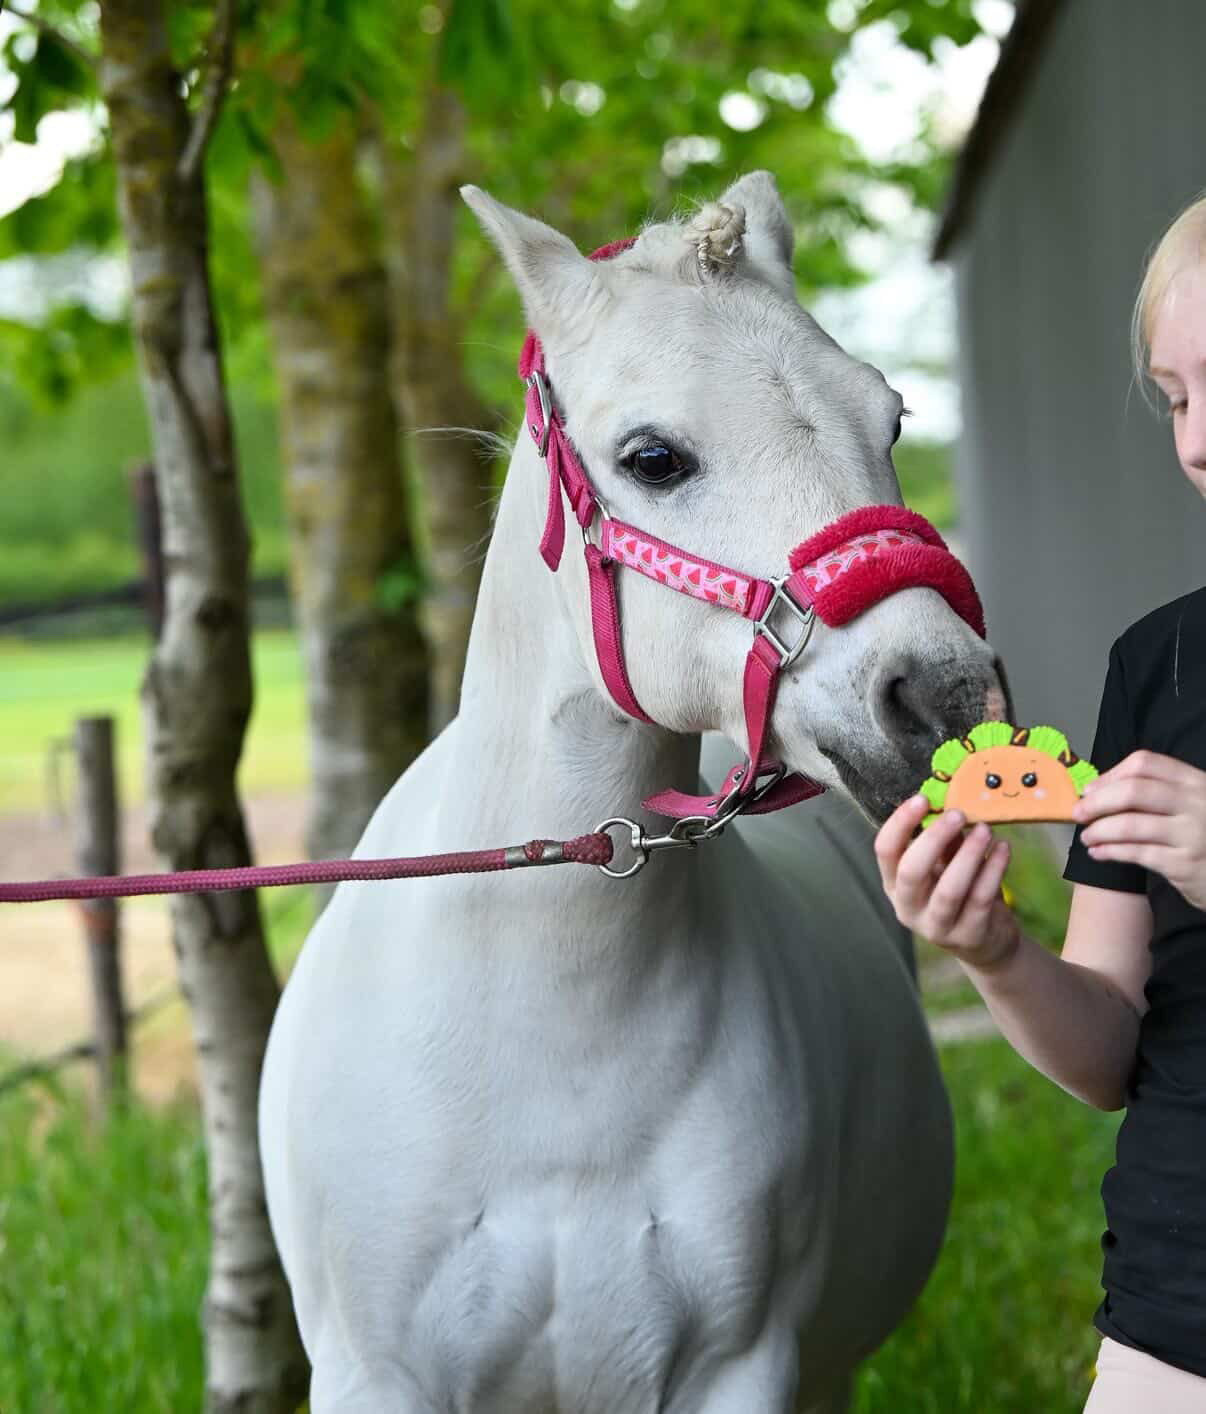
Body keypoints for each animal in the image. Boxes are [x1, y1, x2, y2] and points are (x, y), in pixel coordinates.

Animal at [259, 171, 1008, 1412]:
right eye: (654, 457)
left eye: (891, 416)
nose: (944, 696)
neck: (545, 1045)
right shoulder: (377, 1376)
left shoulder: (739, 1370)